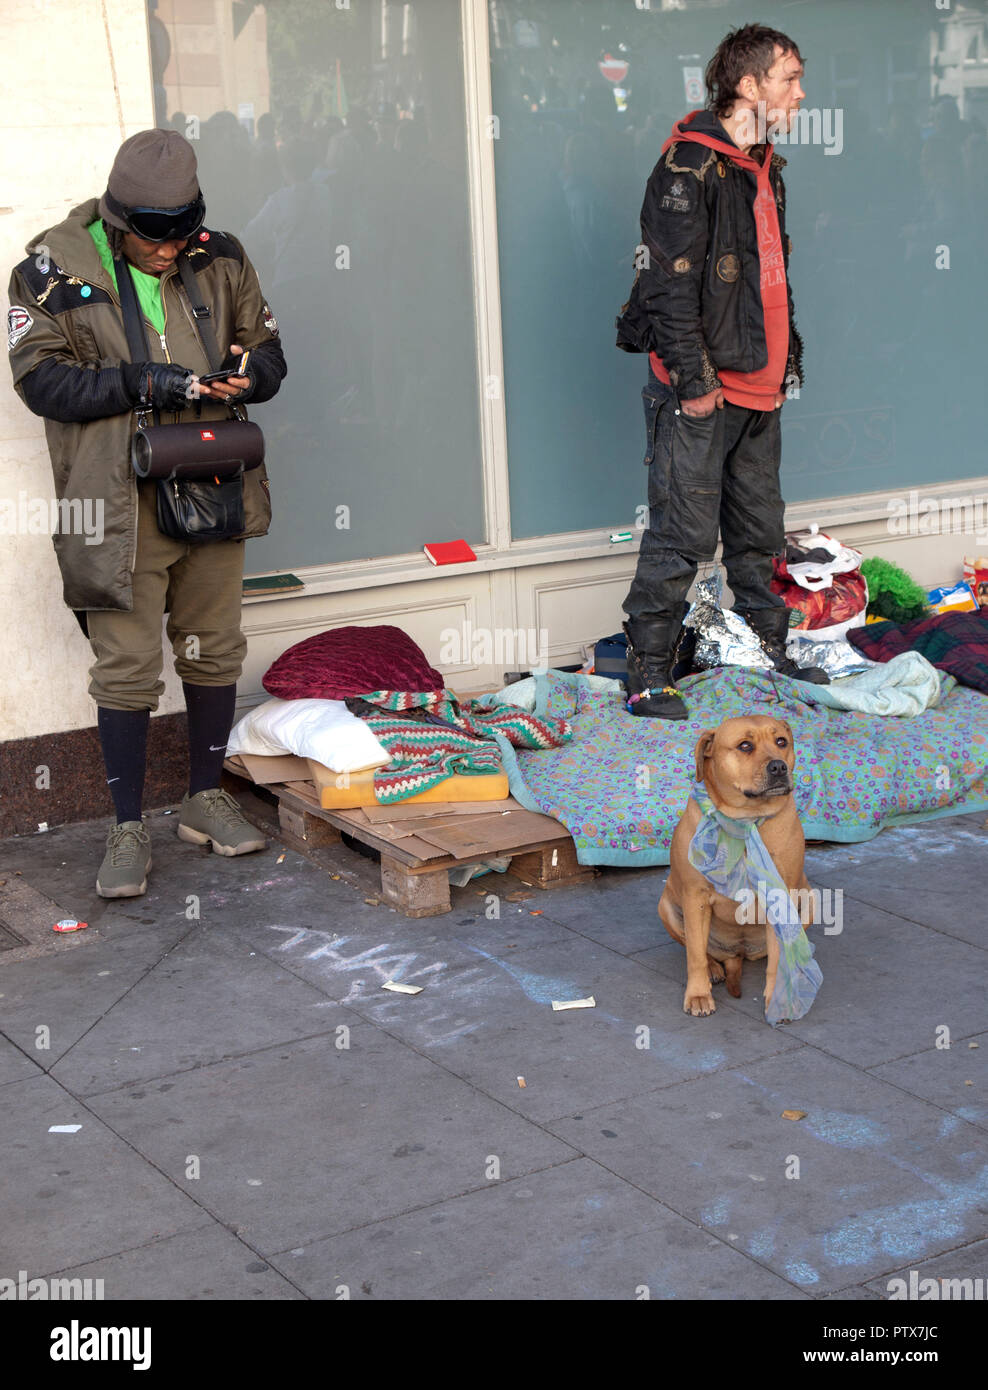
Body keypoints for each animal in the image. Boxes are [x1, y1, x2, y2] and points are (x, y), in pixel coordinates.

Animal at [661, 717, 817, 1023]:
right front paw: (698, 994)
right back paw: (713, 968)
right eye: (745, 746)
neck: (745, 820)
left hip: (810, 900)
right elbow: (694, 954)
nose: (778, 766)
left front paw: (779, 997)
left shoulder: (780, 894)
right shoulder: (695, 896)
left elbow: (778, 956)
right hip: (667, 907)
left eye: (781, 741)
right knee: (699, 947)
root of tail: (739, 953)